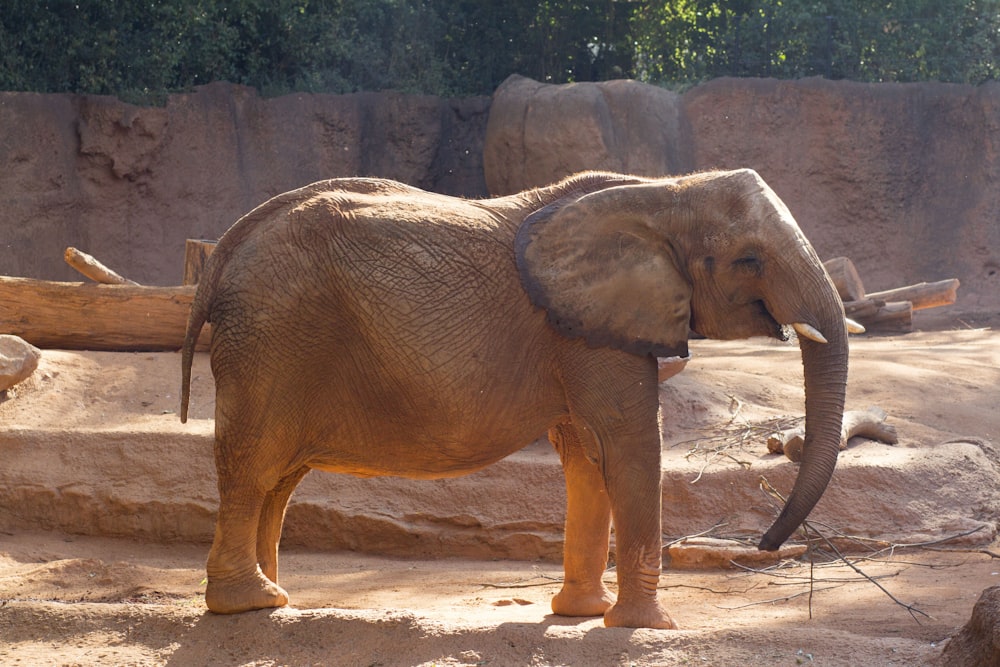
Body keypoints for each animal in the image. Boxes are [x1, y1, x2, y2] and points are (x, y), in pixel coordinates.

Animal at [182, 170, 852, 628]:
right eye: (748, 259)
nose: (765, 543)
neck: (662, 192)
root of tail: (223, 253)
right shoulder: (590, 330)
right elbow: (626, 444)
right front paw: (645, 627)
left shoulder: (583, 327)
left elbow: (587, 457)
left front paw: (581, 613)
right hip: (270, 339)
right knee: (253, 467)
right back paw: (249, 604)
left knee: (278, 478)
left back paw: (275, 599)